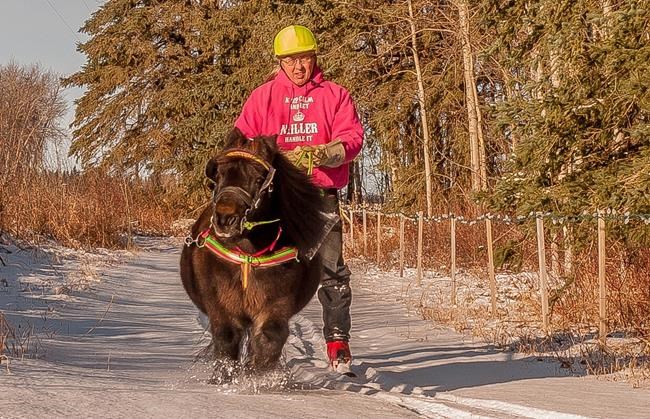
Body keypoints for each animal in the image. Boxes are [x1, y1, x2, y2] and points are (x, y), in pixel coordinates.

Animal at [180, 127, 326, 379]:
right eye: (218, 176)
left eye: (259, 179)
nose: (225, 219)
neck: (247, 255)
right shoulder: (221, 307)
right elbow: (227, 339)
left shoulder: (276, 304)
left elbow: (269, 338)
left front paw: (258, 378)